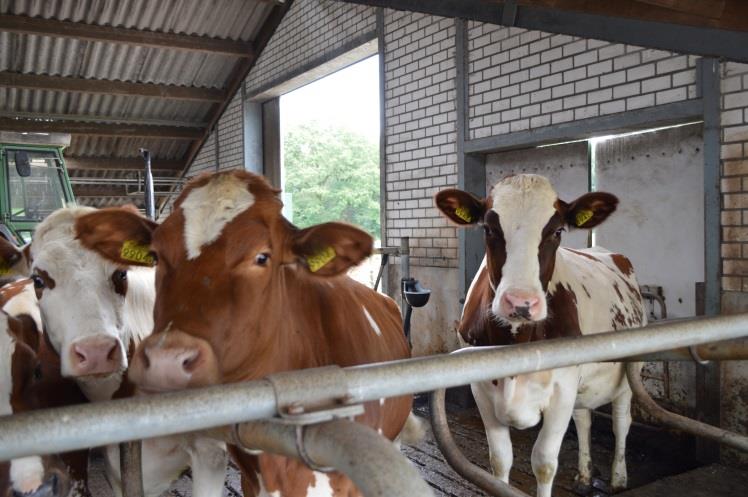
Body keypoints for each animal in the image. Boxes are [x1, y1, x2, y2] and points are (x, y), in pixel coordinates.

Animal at [436, 174, 644, 496]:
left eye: (557, 231)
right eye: (489, 228)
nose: (520, 303)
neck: (517, 342)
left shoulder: (563, 388)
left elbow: (544, 463)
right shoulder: (481, 389)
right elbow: (499, 460)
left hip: (629, 370)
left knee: (621, 421)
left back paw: (619, 478)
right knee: (583, 418)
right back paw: (585, 475)